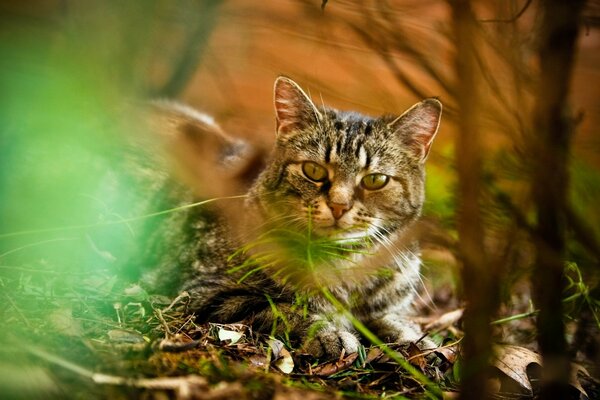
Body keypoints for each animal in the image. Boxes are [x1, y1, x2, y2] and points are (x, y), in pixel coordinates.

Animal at [138, 76, 442, 358]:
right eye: (313, 171)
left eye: (375, 180)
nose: (338, 205)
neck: (347, 263)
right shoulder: (208, 291)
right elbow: (285, 309)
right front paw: (329, 334)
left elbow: (390, 320)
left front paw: (418, 341)